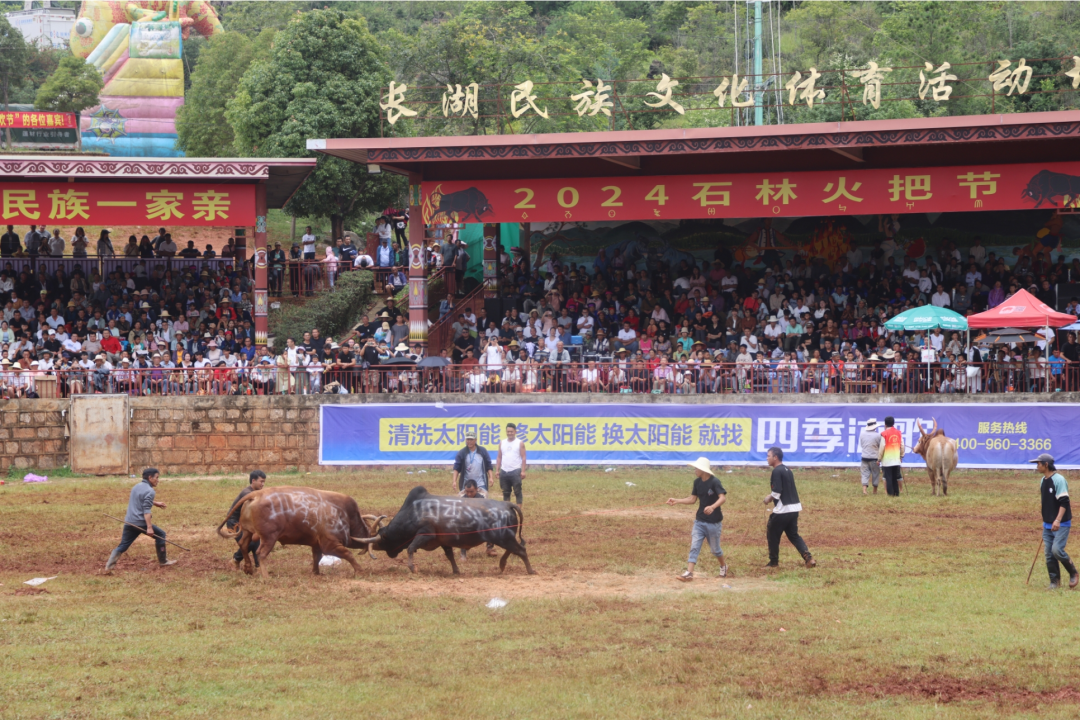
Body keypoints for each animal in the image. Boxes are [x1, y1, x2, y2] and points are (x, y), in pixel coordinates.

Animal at [216, 487, 388, 578]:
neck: (345, 515)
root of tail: (256, 494)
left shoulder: (316, 544)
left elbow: (317, 557)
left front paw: (316, 572)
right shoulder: (330, 544)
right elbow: (348, 554)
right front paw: (360, 570)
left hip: (247, 531)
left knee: (243, 545)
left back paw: (248, 568)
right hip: (269, 538)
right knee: (261, 553)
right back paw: (266, 576)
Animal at [356, 487, 537, 578]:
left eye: (383, 539)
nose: (389, 553)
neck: (414, 511)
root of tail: (507, 504)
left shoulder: (425, 535)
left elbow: (411, 548)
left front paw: (413, 568)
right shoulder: (443, 542)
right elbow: (450, 556)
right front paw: (456, 571)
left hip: (504, 537)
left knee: (520, 550)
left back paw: (530, 570)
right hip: (506, 537)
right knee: (513, 550)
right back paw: (502, 565)